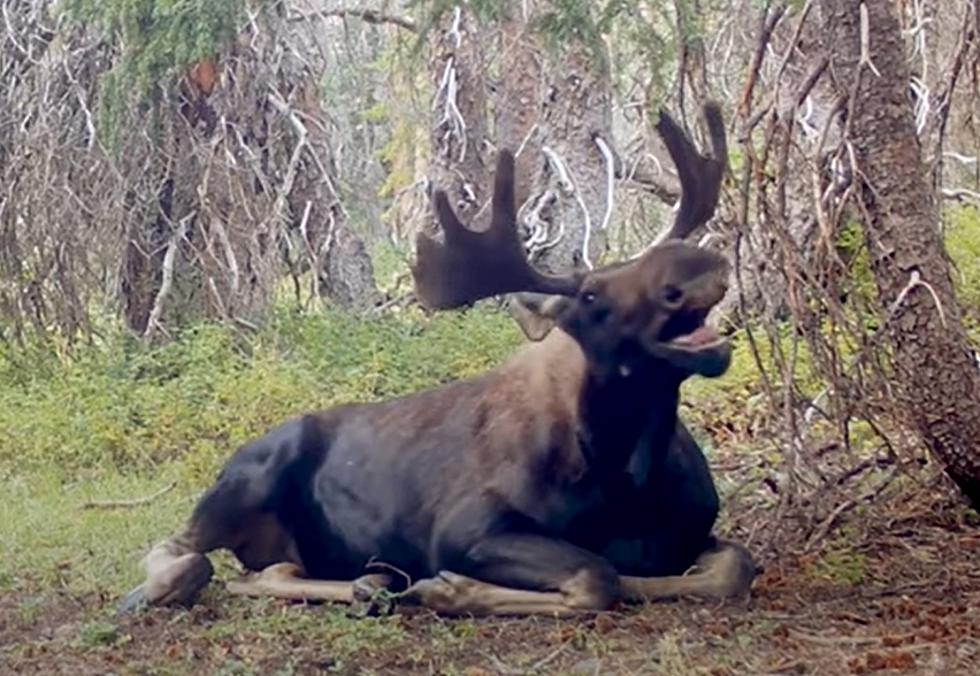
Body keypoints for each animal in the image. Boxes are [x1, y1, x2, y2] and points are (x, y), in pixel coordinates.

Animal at [117, 103, 756, 616]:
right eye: (592, 297)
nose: (695, 266)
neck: (628, 474)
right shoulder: (463, 529)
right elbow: (598, 574)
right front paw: (451, 589)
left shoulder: (696, 531)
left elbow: (730, 568)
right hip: (248, 476)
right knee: (186, 553)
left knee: (273, 569)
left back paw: (368, 585)